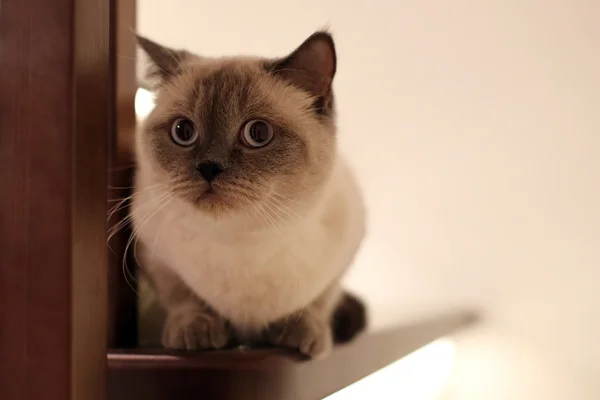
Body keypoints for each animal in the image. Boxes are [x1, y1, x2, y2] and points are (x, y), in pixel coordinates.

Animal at [131, 29, 366, 358]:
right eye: (183, 131)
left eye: (258, 133)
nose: (209, 167)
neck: (242, 239)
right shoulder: (154, 254)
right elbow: (182, 297)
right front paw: (196, 330)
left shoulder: (343, 256)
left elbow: (317, 302)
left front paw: (303, 333)